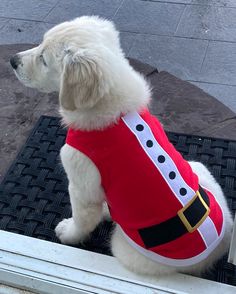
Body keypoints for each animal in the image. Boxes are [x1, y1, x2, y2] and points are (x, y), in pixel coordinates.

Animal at [10, 16, 232, 278]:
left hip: (124, 247)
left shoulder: (80, 182)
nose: (12, 61)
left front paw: (68, 233)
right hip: (199, 168)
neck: (115, 112)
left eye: (44, 59)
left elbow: (82, 218)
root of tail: (218, 249)